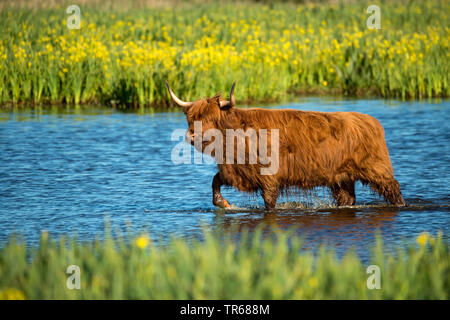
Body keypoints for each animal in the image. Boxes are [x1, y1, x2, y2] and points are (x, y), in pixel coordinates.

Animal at [167, 81, 406, 209]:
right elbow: (215, 182)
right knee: (347, 197)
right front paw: (224, 203)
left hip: (377, 169)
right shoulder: (235, 172)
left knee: (393, 188)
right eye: (191, 118)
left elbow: (269, 203)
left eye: (210, 119)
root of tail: (371, 121)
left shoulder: (269, 178)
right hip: (342, 178)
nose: (192, 136)